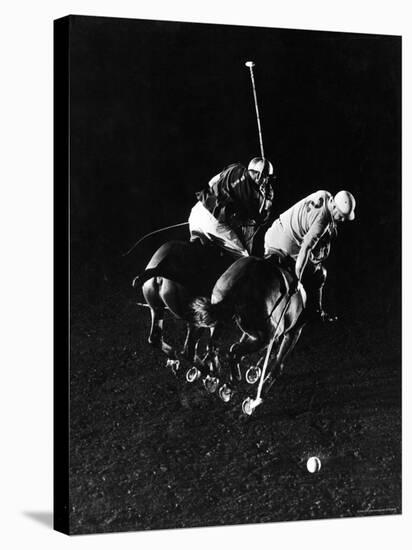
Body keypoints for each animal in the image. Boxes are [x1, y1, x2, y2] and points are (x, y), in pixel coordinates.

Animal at [190, 253, 306, 414]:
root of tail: (244, 277)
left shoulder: (255, 334)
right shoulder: (292, 332)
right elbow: (277, 364)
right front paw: (256, 395)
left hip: (222, 316)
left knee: (215, 346)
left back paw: (216, 375)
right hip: (266, 335)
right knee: (234, 351)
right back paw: (234, 384)